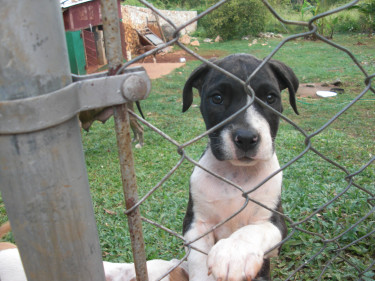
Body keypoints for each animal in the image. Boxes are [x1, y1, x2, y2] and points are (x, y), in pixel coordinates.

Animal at [182, 53, 300, 278]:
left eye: (270, 98)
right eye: (217, 98)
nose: (246, 138)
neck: (237, 172)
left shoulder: (276, 223)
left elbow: (252, 230)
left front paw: (234, 251)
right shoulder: (196, 224)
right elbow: (198, 259)